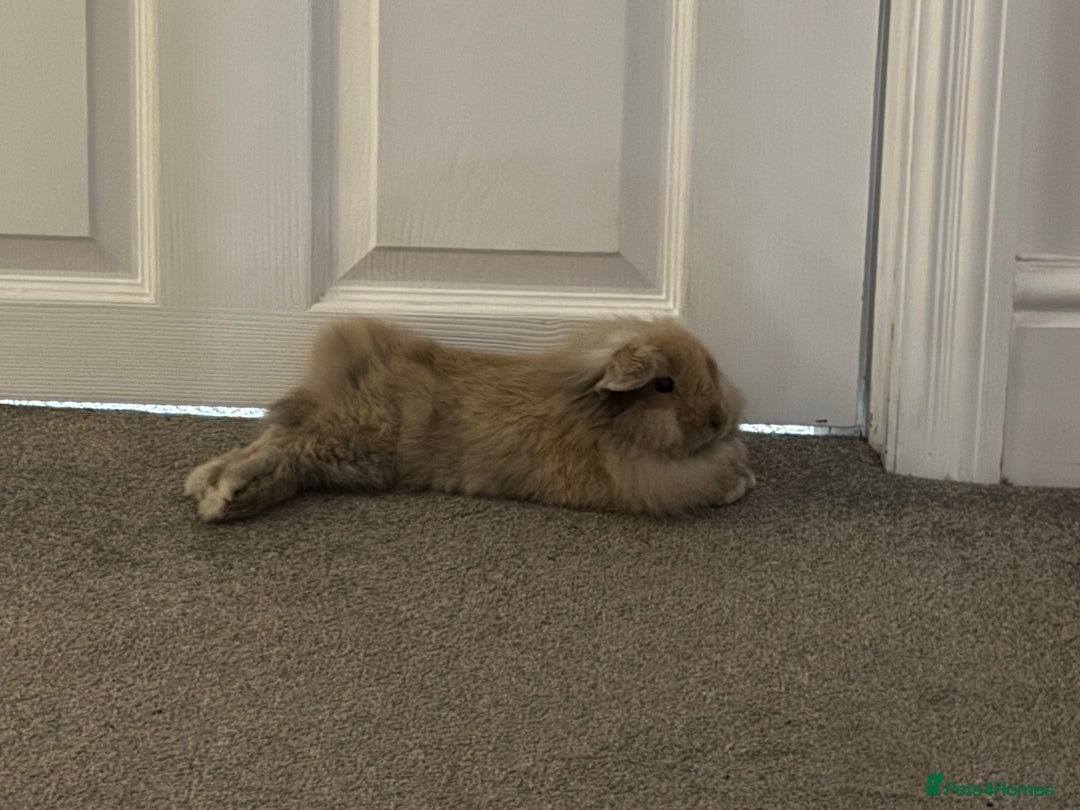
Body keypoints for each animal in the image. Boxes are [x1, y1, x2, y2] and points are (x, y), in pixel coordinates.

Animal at [184, 316, 756, 521]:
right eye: (664, 385)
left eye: (712, 367)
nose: (718, 420)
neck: (601, 419)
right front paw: (738, 485)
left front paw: (744, 475)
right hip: (352, 443)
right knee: (283, 449)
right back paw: (222, 494)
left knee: (276, 445)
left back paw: (207, 485)